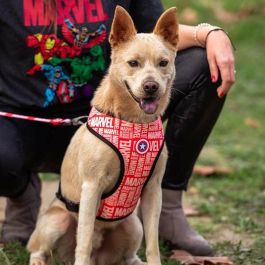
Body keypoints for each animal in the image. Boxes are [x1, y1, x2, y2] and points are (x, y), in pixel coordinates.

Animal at [27, 6, 177, 264]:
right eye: (133, 63)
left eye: (163, 63)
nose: (151, 86)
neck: (134, 123)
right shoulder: (92, 187)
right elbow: (84, 241)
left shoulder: (153, 190)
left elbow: (153, 244)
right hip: (57, 221)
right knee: (39, 250)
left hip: (133, 226)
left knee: (129, 256)